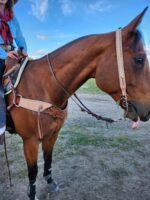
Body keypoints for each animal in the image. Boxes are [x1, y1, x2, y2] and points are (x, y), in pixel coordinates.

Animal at [4, 7, 150, 199]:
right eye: (139, 59)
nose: (148, 109)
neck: (43, 86)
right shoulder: (30, 141)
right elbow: (32, 171)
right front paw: (32, 193)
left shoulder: (52, 135)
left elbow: (48, 158)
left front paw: (50, 182)